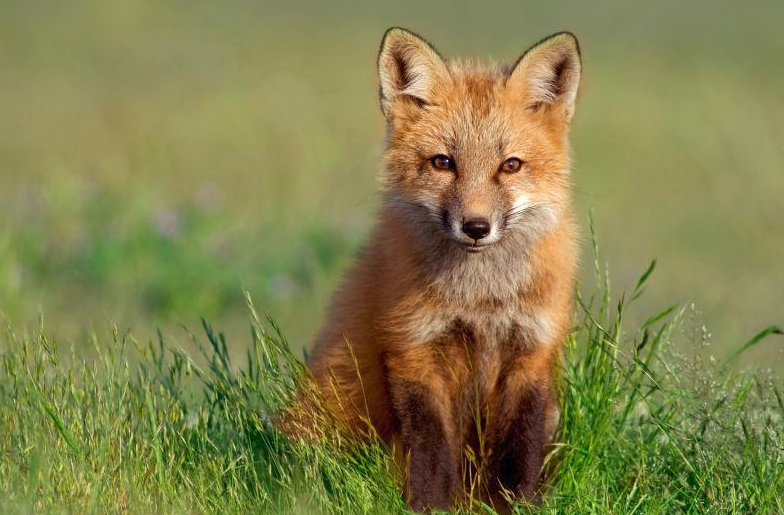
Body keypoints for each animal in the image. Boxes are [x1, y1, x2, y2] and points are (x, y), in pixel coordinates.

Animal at [306, 27, 580, 512]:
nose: (476, 227)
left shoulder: (532, 351)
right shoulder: (413, 348)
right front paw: (431, 505)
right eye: (443, 163)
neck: (481, 301)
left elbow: (521, 448)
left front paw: (516, 504)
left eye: (510, 165)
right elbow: (433, 449)